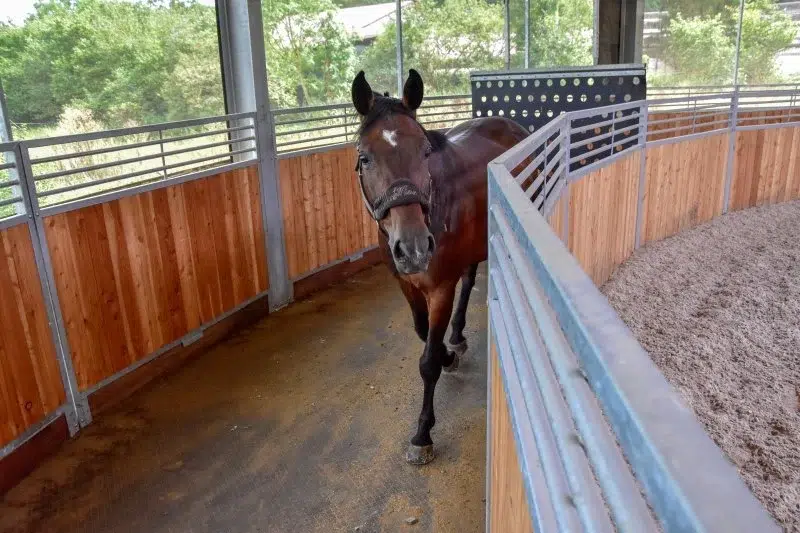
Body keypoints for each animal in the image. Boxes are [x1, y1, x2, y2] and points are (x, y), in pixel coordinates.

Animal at [350, 69, 529, 465]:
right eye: (365, 158)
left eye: (425, 151)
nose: (414, 247)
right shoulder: (406, 284)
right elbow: (422, 331)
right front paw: (449, 352)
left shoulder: (440, 287)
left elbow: (428, 361)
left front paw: (423, 433)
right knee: (470, 277)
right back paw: (458, 336)